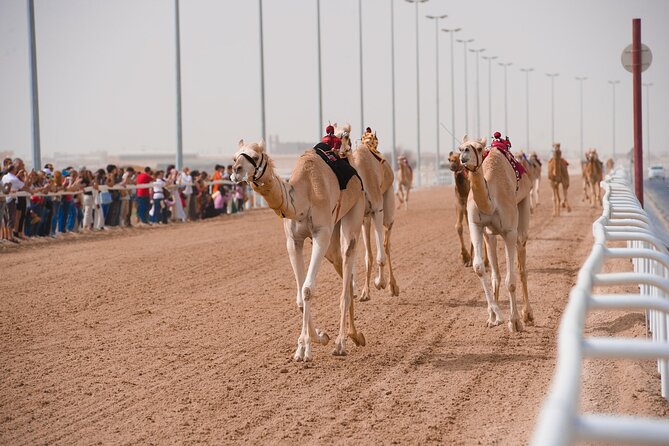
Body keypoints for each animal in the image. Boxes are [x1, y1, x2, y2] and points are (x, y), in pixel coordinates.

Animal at [230, 138, 366, 360]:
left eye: (256, 156)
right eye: (234, 157)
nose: (236, 171)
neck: (303, 197)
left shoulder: (321, 234)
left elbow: (307, 289)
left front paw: (305, 349)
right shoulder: (293, 240)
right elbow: (300, 298)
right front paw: (319, 337)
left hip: (354, 211)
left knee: (348, 262)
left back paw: (341, 343)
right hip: (333, 239)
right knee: (344, 270)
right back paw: (356, 335)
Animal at [336, 123, 400, 302]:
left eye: (345, 135)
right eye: (332, 132)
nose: (339, 151)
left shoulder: (377, 210)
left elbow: (380, 256)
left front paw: (380, 283)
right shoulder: (358, 217)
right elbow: (362, 255)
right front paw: (361, 291)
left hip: (387, 209)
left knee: (386, 244)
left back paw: (393, 287)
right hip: (365, 219)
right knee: (370, 254)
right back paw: (367, 291)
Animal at [460, 135, 532, 332]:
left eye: (478, 148)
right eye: (460, 147)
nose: (464, 155)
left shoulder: (509, 231)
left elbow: (511, 280)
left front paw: (514, 322)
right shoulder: (476, 225)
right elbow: (479, 267)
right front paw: (495, 317)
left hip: (523, 208)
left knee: (521, 264)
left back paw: (528, 315)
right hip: (489, 235)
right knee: (496, 273)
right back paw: (494, 316)